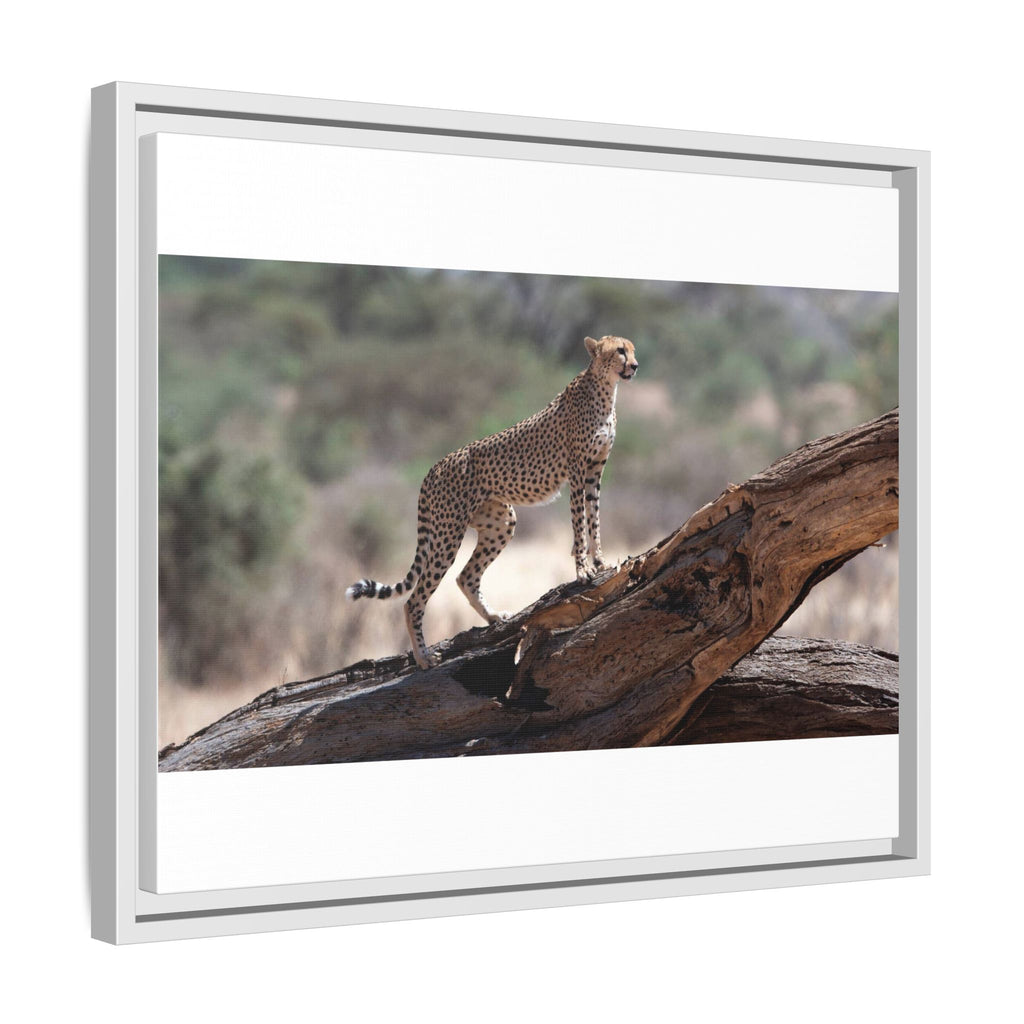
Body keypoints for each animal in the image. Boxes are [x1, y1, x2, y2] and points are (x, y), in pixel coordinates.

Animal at [346, 335, 639, 669]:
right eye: (620, 351)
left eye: (632, 350)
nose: (634, 365)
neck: (605, 389)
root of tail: (435, 466)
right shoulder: (577, 471)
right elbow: (579, 523)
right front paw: (582, 570)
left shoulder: (594, 471)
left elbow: (594, 518)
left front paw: (600, 561)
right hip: (447, 534)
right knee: (414, 599)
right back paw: (423, 657)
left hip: (500, 522)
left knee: (466, 577)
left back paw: (494, 617)